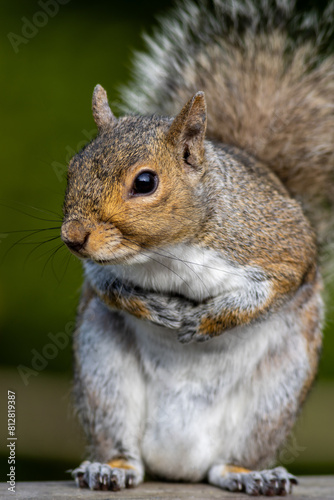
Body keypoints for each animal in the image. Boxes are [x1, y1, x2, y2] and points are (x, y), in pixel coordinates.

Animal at [61, 0, 332, 496]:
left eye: (145, 182)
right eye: (73, 168)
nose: (73, 237)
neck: (164, 254)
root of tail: (180, 463)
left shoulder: (281, 243)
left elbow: (277, 284)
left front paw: (207, 320)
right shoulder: (101, 268)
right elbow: (106, 284)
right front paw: (151, 306)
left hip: (277, 391)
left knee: (231, 460)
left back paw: (251, 474)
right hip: (102, 373)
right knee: (121, 442)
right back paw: (111, 467)